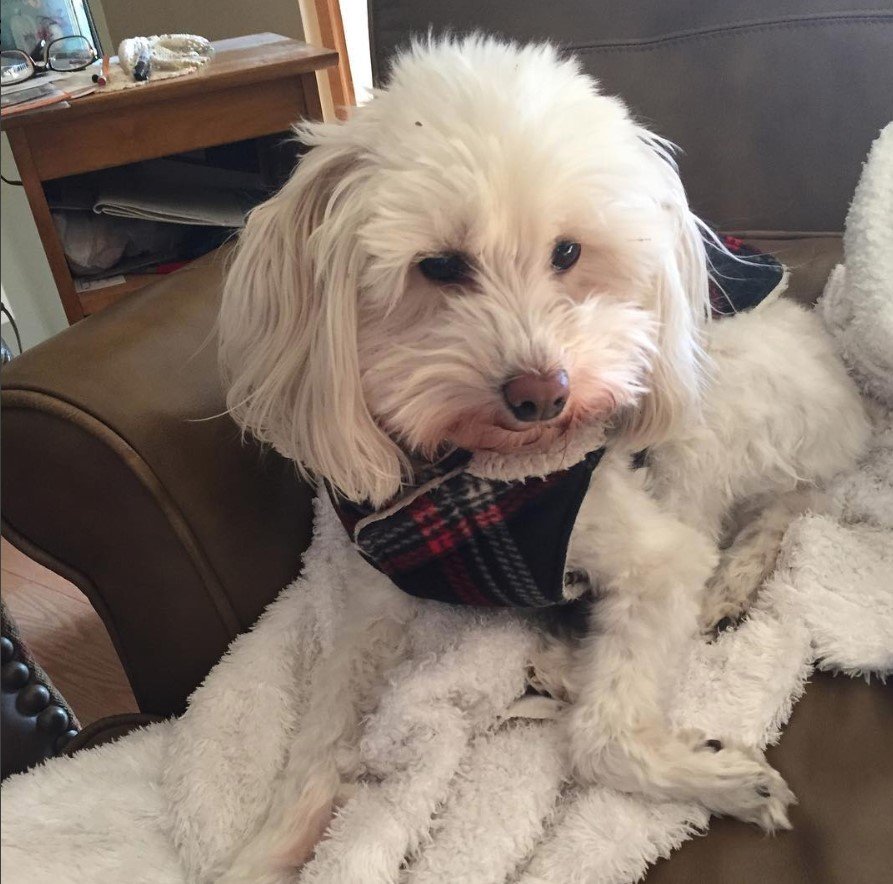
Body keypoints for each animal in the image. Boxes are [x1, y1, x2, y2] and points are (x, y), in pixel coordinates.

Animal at [213, 38, 868, 880]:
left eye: (568, 252)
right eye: (437, 266)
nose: (543, 395)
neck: (470, 481)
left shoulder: (655, 560)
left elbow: (603, 738)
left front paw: (712, 775)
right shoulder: (374, 600)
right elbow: (319, 742)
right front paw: (265, 849)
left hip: (712, 409)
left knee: (781, 503)